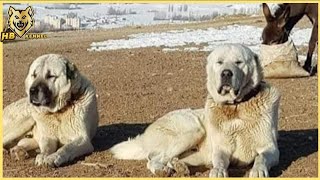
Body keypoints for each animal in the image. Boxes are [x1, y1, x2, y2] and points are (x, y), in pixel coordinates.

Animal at [111, 44, 282, 177]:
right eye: (219, 62)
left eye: (239, 62)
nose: (226, 73)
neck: (236, 106)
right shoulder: (221, 149)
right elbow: (219, 160)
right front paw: (218, 171)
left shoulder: (271, 149)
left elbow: (261, 158)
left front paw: (258, 170)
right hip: (193, 131)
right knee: (153, 158)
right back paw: (163, 170)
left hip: (196, 151)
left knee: (165, 158)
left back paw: (179, 166)